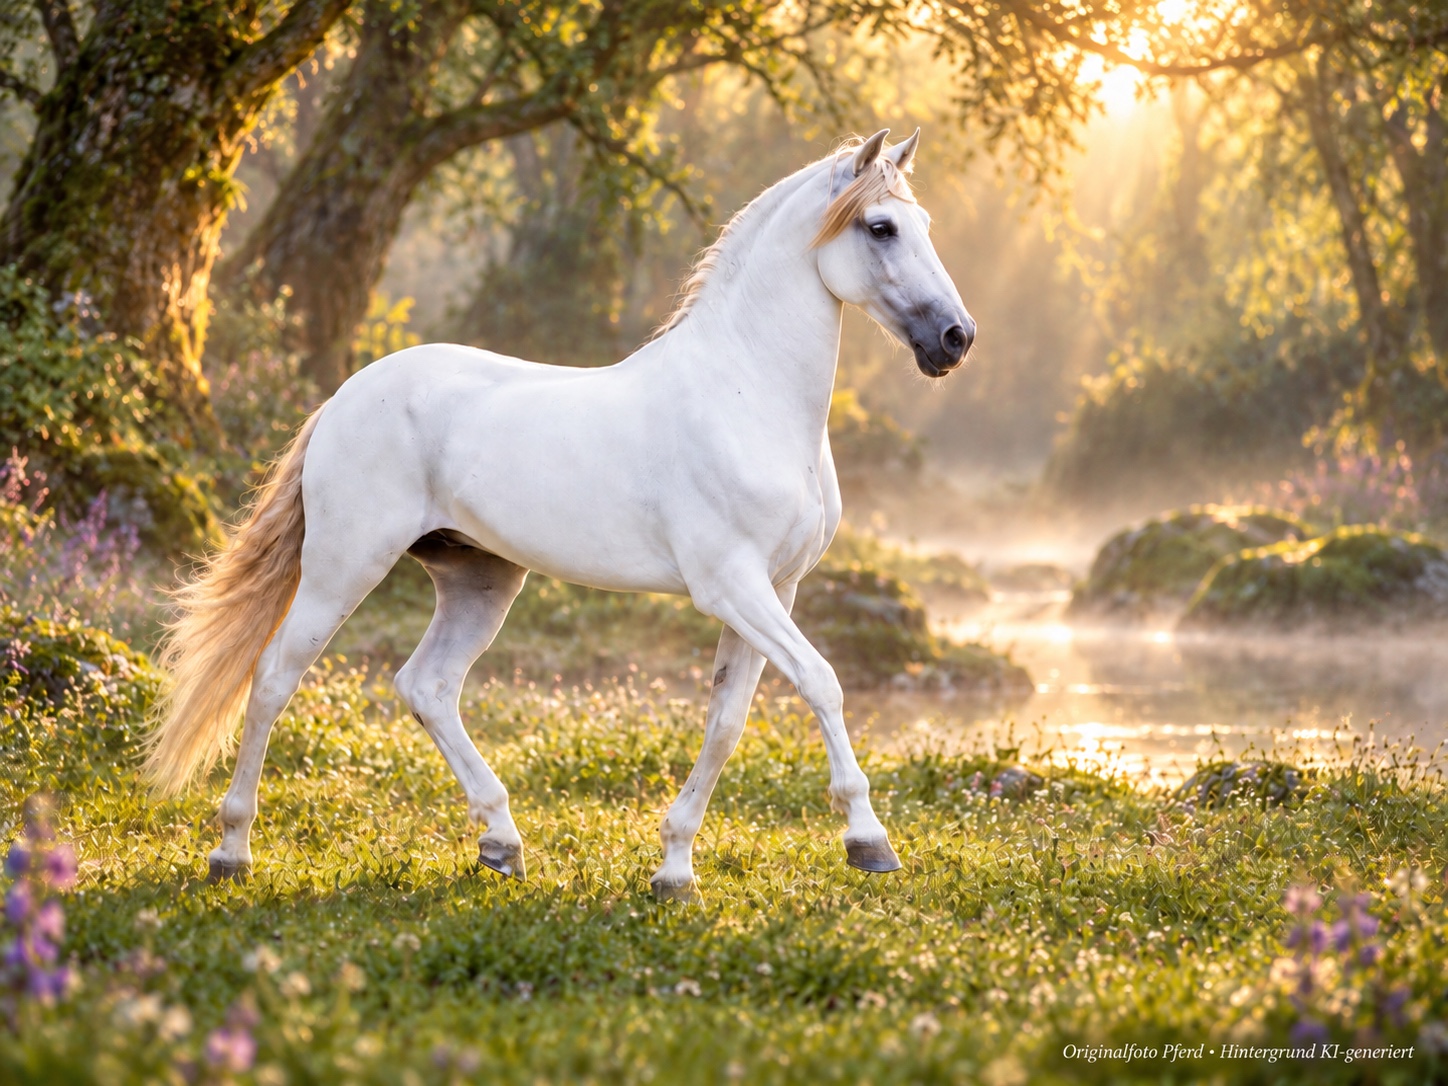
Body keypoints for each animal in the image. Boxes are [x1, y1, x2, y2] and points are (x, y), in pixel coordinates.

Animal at [145, 128, 975, 899]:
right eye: (880, 227)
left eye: (926, 222)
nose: (955, 339)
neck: (746, 395)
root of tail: (344, 398)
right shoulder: (733, 587)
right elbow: (822, 683)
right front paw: (869, 842)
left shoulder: (775, 590)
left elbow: (727, 723)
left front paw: (675, 868)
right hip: (342, 568)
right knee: (274, 678)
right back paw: (232, 851)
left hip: (479, 580)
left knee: (426, 686)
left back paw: (501, 844)